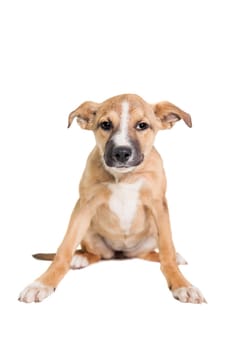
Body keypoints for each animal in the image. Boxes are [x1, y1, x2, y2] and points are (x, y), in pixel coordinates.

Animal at [19, 93, 206, 304]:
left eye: (142, 125)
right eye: (105, 124)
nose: (122, 152)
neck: (124, 176)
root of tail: (120, 253)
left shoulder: (159, 206)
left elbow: (167, 252)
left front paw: (182, 284)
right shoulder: (84, 205)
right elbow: (64, 249)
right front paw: (42, 284)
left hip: (151, 234)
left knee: (149, 253)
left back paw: (176, 256)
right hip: (89, 232)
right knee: (96, 255)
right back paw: (80, 258)